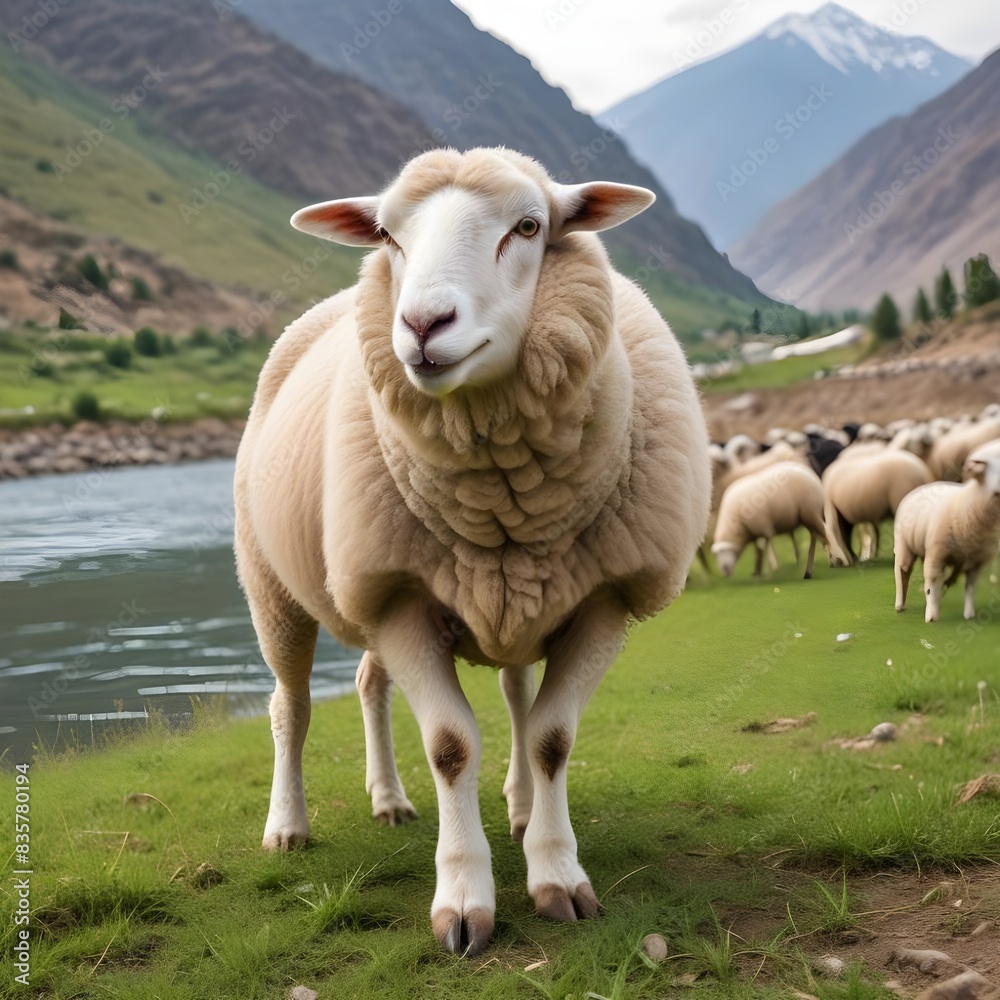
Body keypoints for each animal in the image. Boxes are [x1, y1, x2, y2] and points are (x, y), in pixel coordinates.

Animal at [234, 147, 711, 956]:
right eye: (387, 235)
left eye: (530, 226)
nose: (423, 323)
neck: (501, 488)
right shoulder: (399, 599)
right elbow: (451, 746)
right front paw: (463, 902)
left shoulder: (603, 600)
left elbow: (551, 737)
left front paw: (557, 876)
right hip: (276, 587)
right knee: (289, 706)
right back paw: (288, 826)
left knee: (407, 685)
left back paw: (412, 800)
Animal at [893, 441, 1000, 621]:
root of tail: (920, 487)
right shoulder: (936, 553)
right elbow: (931, 582)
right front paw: (931, 616)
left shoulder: (976, 560)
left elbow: (970, 586)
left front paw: (969, 613)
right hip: (904, 543)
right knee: (903, 571)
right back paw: (900, 605)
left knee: (947, 579)